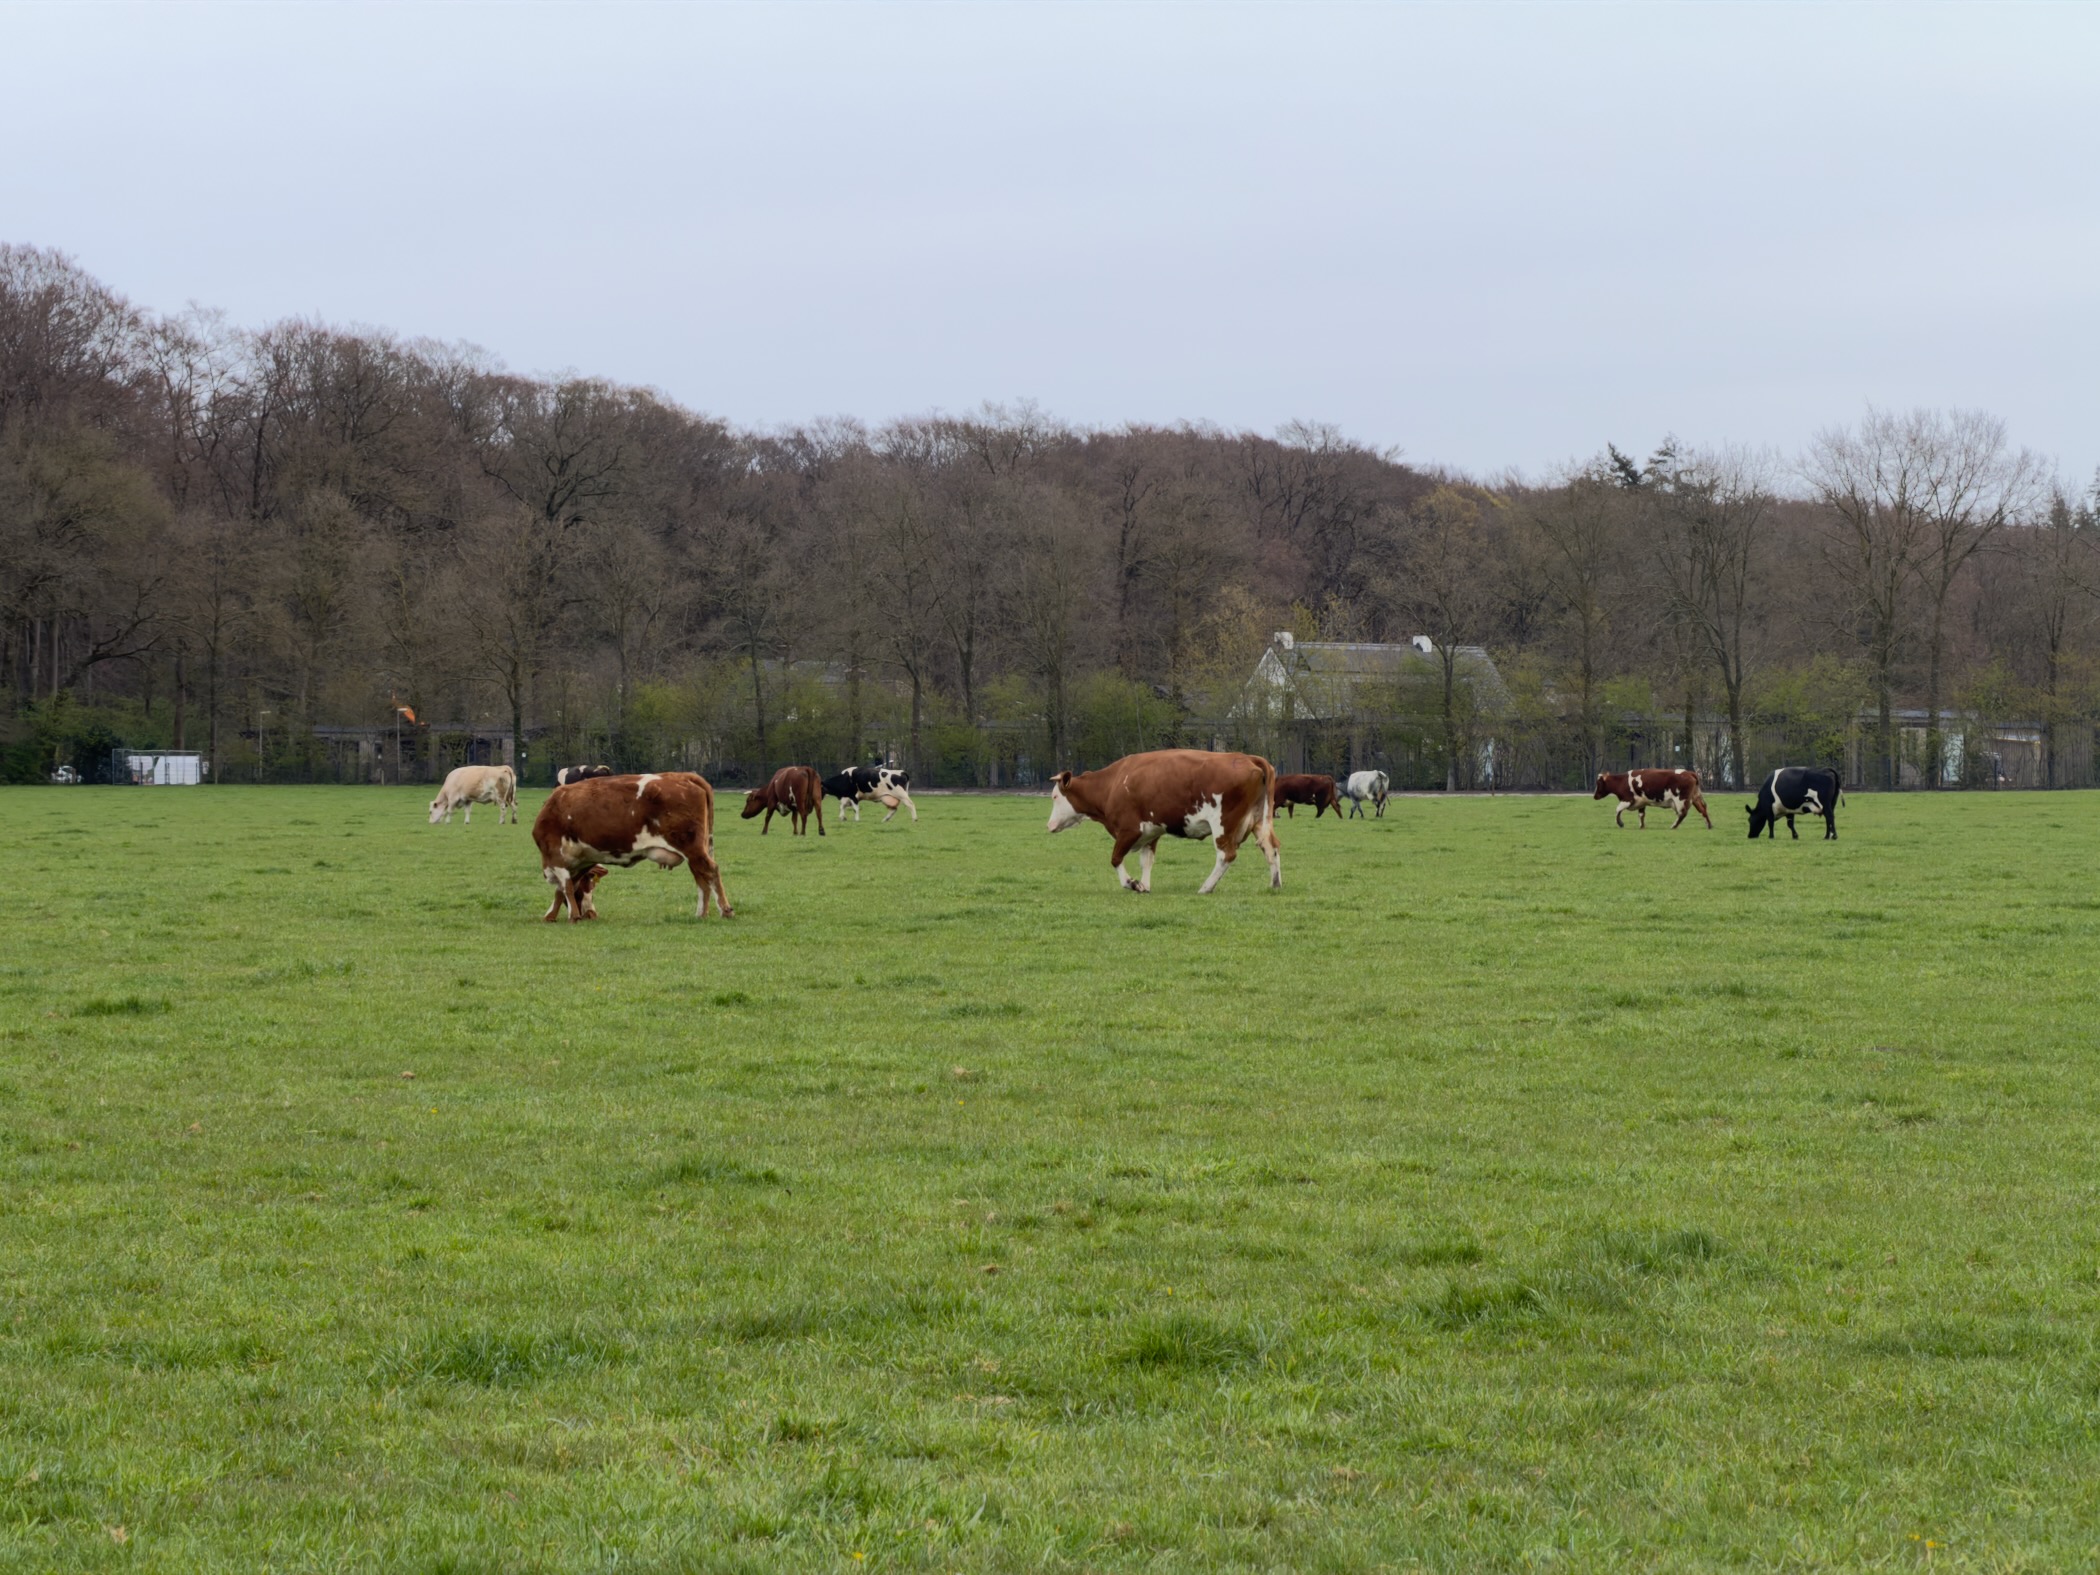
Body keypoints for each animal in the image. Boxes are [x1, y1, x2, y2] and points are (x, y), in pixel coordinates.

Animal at [531, 772, 733, 920]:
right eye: (591, 886)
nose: (591, 915)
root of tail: (684, 776)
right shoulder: (580, 861)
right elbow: (563, 889)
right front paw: (551, 915)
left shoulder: (555, 855)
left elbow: (565, 887)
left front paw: (572, 915)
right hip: (695, 850)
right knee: (701, 876)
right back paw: (701, 913)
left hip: (691, 847)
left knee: (710, 870)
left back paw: (725, 910)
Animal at [1047, 748, 1282, 894]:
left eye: (1055, 796)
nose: (1049, 825)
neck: (1113, 784)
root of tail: (1248, 757)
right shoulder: (1150, 833)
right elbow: (1146, 861)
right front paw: (1144, 885)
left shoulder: (1129, 830)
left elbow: (1115, 859)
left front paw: (1131, 883)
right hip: (1259, 820)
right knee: (1271, 848)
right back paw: (1275, 884)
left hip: (1224, 824)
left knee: (1226, 855)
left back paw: (1206, 887)